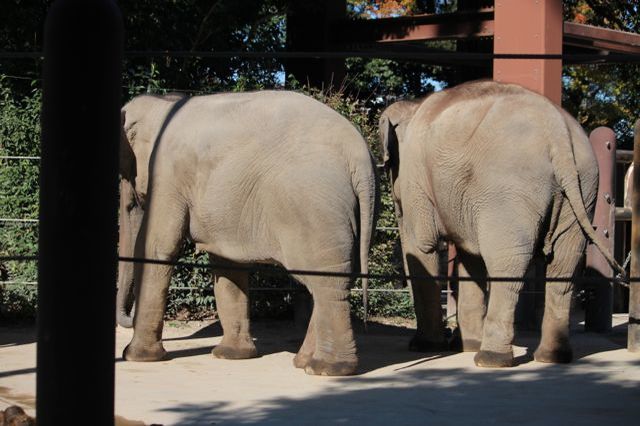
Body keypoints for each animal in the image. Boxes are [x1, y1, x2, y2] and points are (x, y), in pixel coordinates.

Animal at [118, 90, 378, 376]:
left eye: (130, 201)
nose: (127, 318)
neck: (163, 103)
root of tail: (359, 156)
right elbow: (227, 265)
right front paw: (232, 355)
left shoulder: (168, 175)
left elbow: (157, 247)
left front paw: (136, 357)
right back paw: (303, 362)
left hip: (314, 209)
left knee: (326, 281)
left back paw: (326, 369)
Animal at [380, 81, 624, 368]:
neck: (414, 106)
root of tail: (559, 135)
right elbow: (469, 258)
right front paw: (463, 344)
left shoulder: (416, 178)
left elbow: (424, 245)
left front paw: (425, 346)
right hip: (584, 186)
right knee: (565, 264)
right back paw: (552, 357)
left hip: (508, 191)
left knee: (507, 263)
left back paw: (490, 358)